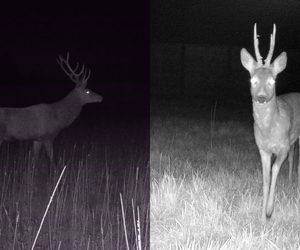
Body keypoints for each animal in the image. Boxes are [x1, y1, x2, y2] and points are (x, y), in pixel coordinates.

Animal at [240, 23, 300, 223]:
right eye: (252, 79)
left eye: (273, 80)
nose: (261, 97)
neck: (269, 129)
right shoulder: (263, 149)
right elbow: (265, 178)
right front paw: (261, 215)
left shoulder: (281, 147)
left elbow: (274, 171)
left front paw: (270, 212)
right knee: (294, 155)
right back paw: (290, 181)